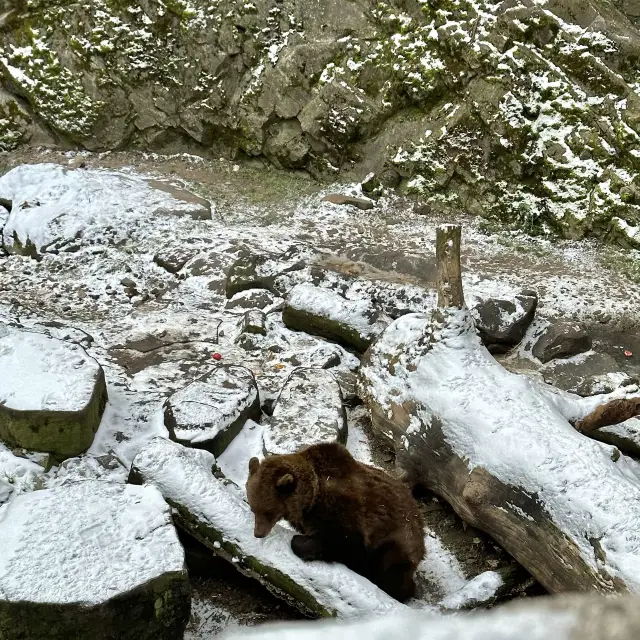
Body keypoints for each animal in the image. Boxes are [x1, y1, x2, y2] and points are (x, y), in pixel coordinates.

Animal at [245, 442, 424, 604]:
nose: (258, 533)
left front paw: (300, 541)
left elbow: (345, 545)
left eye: (268, 511)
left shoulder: (343, 512)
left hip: (400, 538)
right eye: (253, 507)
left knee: (391, 571)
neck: (310, 500)